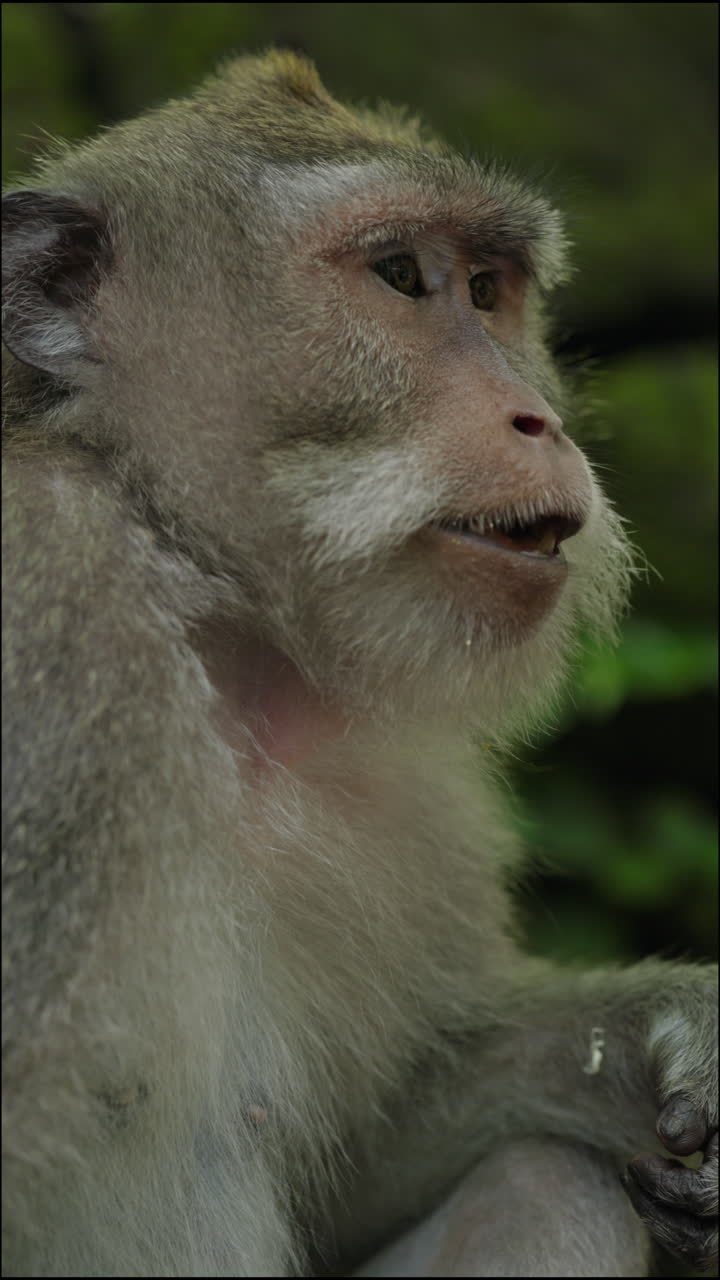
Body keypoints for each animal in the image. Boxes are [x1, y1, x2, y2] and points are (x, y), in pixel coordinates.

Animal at [2, 48, 717, 1279]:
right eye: (397, 275)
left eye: (487, 289)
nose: (538, 419)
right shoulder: (48, 626)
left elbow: (365, 1162)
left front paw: (675, 1034)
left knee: (547, 1182)